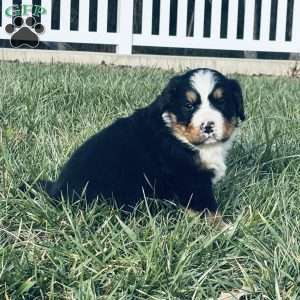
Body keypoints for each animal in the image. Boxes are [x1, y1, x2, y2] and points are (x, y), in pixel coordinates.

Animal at [24, 69, 244, 217]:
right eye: (188, 106)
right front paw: (227, 231)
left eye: (221, 102)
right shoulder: (191, 180)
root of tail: (55, 190)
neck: (178, 135)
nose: (208, 126)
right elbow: (209, 210)